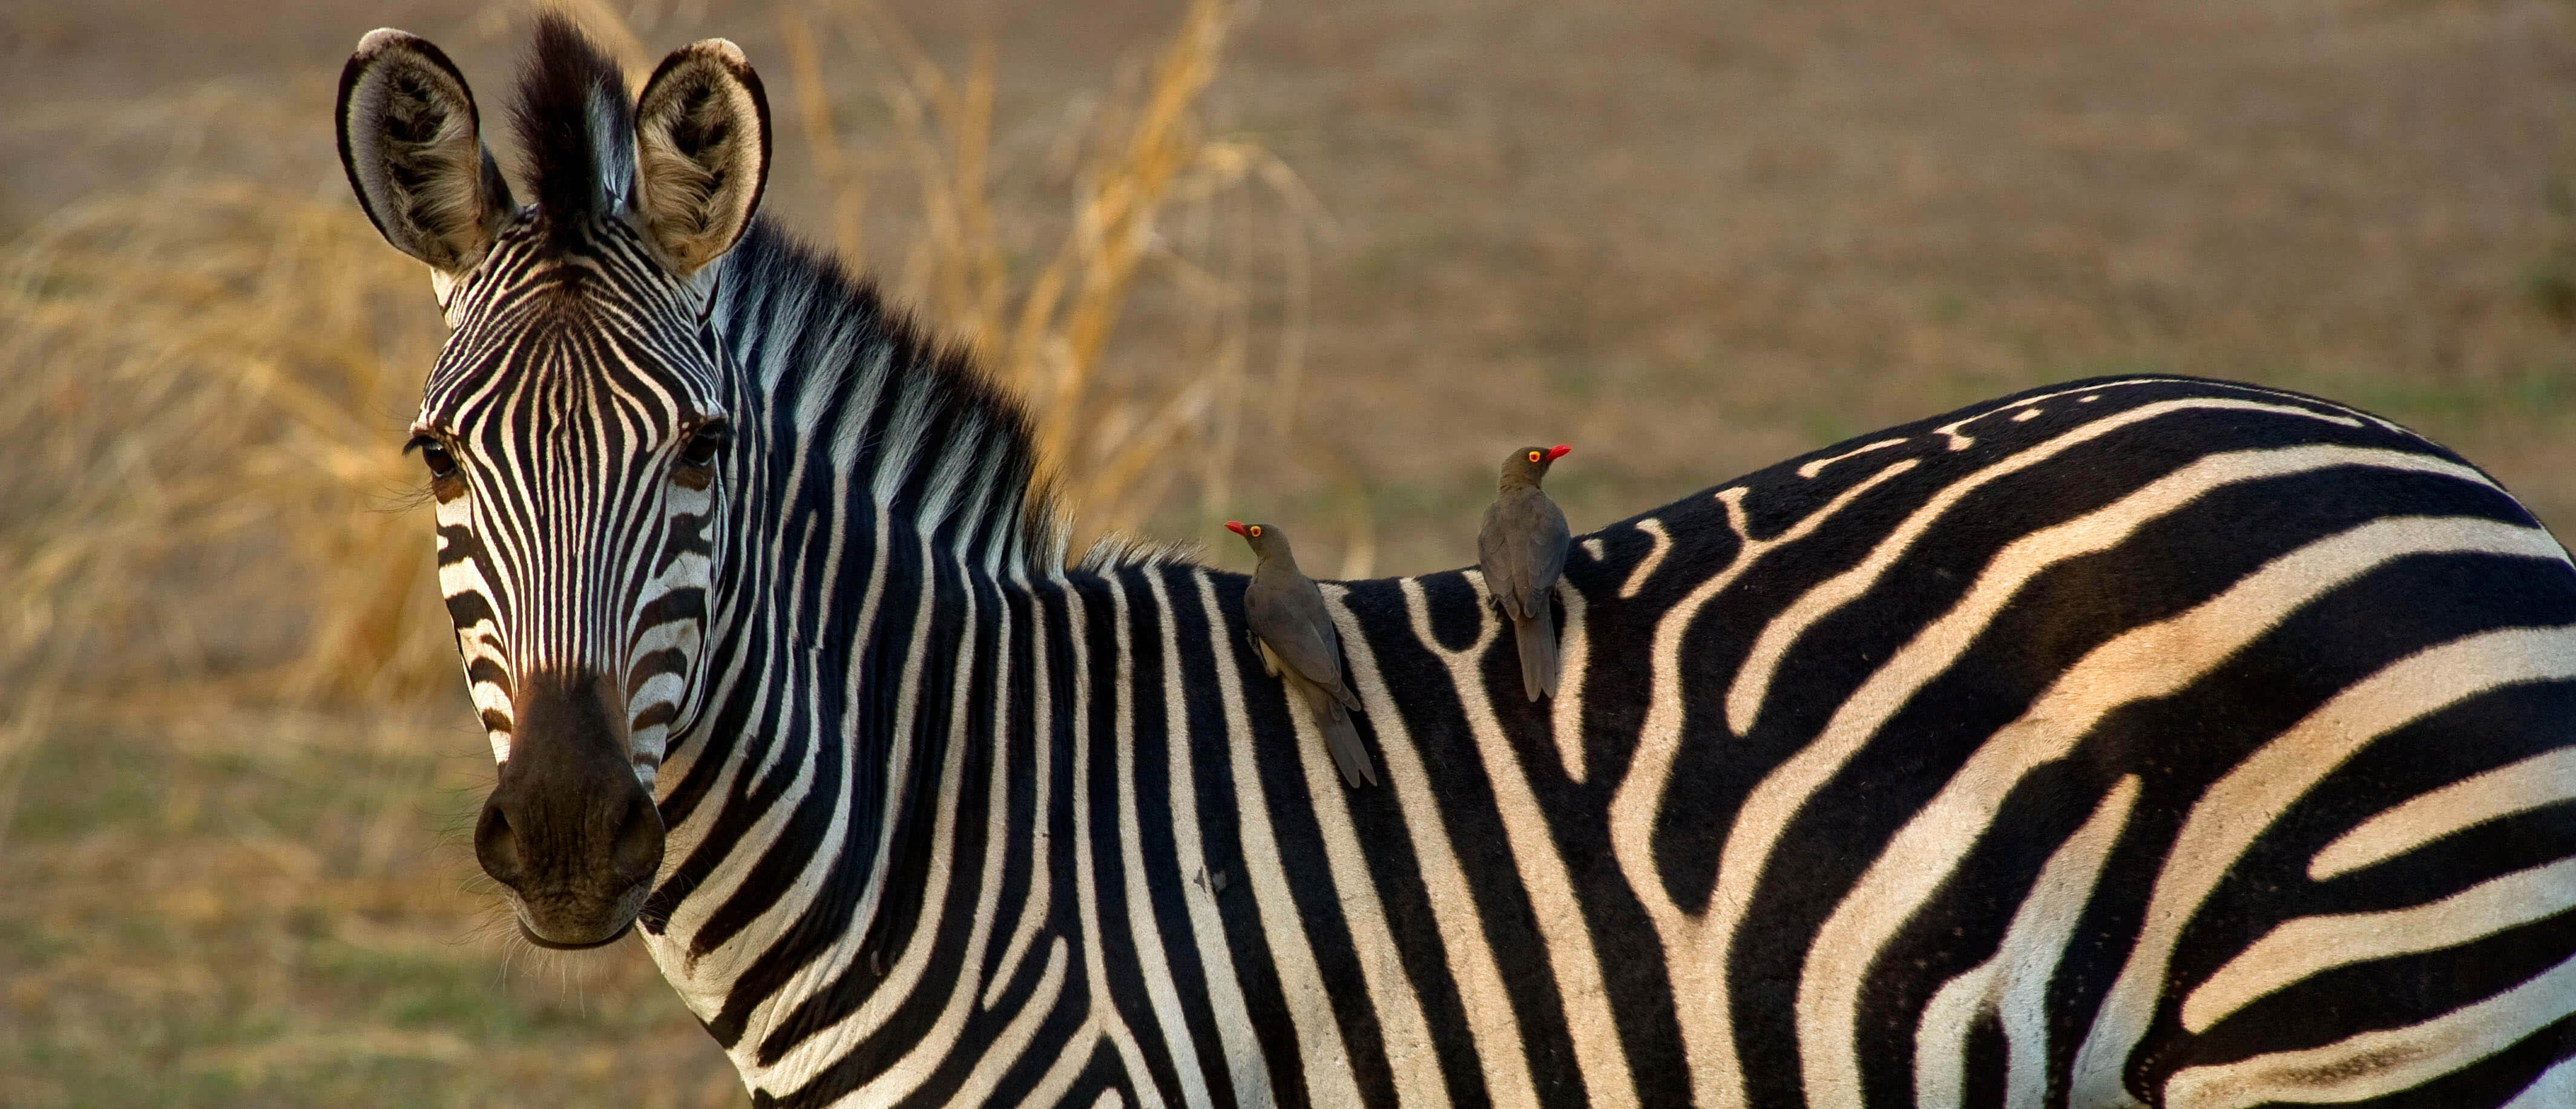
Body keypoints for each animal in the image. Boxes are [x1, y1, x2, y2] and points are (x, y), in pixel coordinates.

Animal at [337, 17, 2576, 1109]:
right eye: (435, 460)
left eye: (705, 452)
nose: (566, 840)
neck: (960, 820)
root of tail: (2465, 482)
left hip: (2364, 1031)